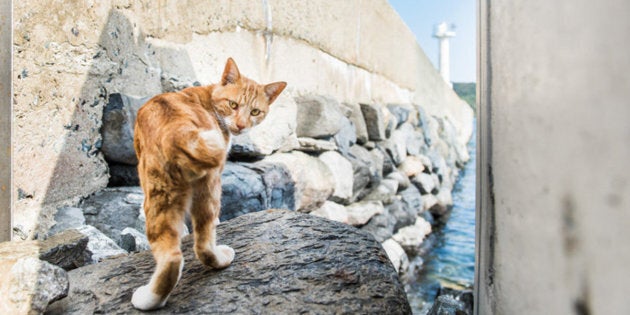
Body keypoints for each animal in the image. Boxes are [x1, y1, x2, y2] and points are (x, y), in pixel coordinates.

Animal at [132, 57, 288, 312]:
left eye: (255, 111)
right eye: (233, 105)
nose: (241, 125)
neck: (208, 96)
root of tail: (177, 133)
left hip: (166, 193)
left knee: (180, 253)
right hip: (198, 189)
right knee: (194, 246)